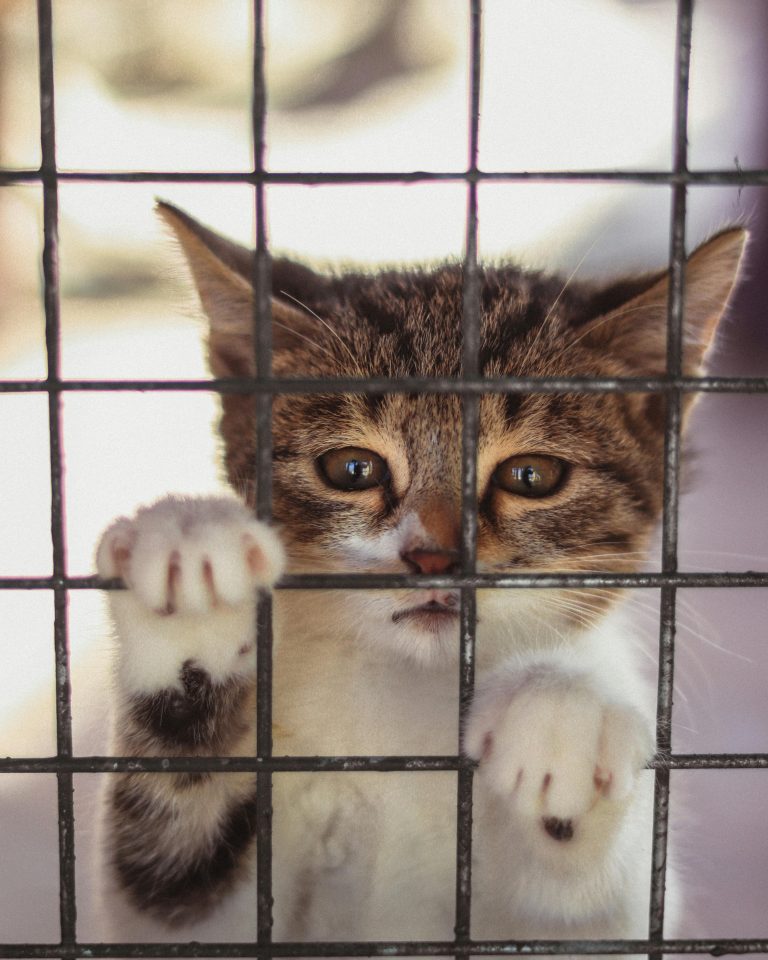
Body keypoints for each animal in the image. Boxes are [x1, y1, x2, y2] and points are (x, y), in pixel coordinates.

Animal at [94, 204, 744, 944]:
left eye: (531, 475)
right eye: (352, 468)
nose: (433, 556)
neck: (404, 692)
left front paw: (562, 714)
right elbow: (181, 892)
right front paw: (191, 595)